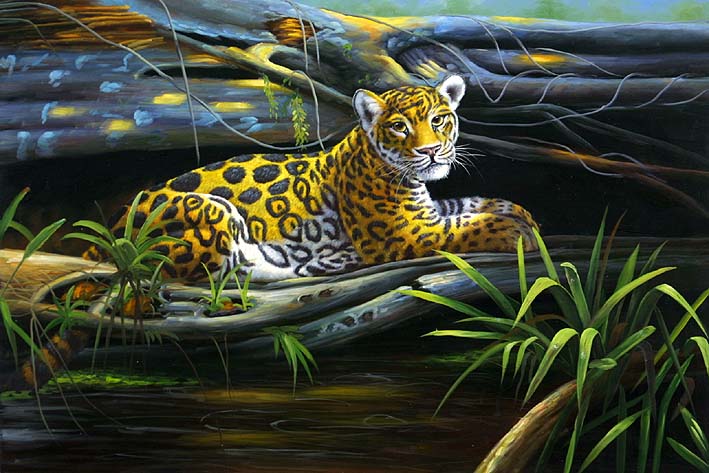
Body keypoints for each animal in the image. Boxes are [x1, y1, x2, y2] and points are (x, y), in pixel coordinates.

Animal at [86, 75, 539, 282]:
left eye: (439, 120)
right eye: (399, 127)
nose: (430, 151)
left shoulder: (425, 211)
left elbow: (465, 206)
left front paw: (519, 213)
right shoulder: (403, 234)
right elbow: (463, 228)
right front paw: (515, 233)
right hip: (208, 213)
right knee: (227, 270)